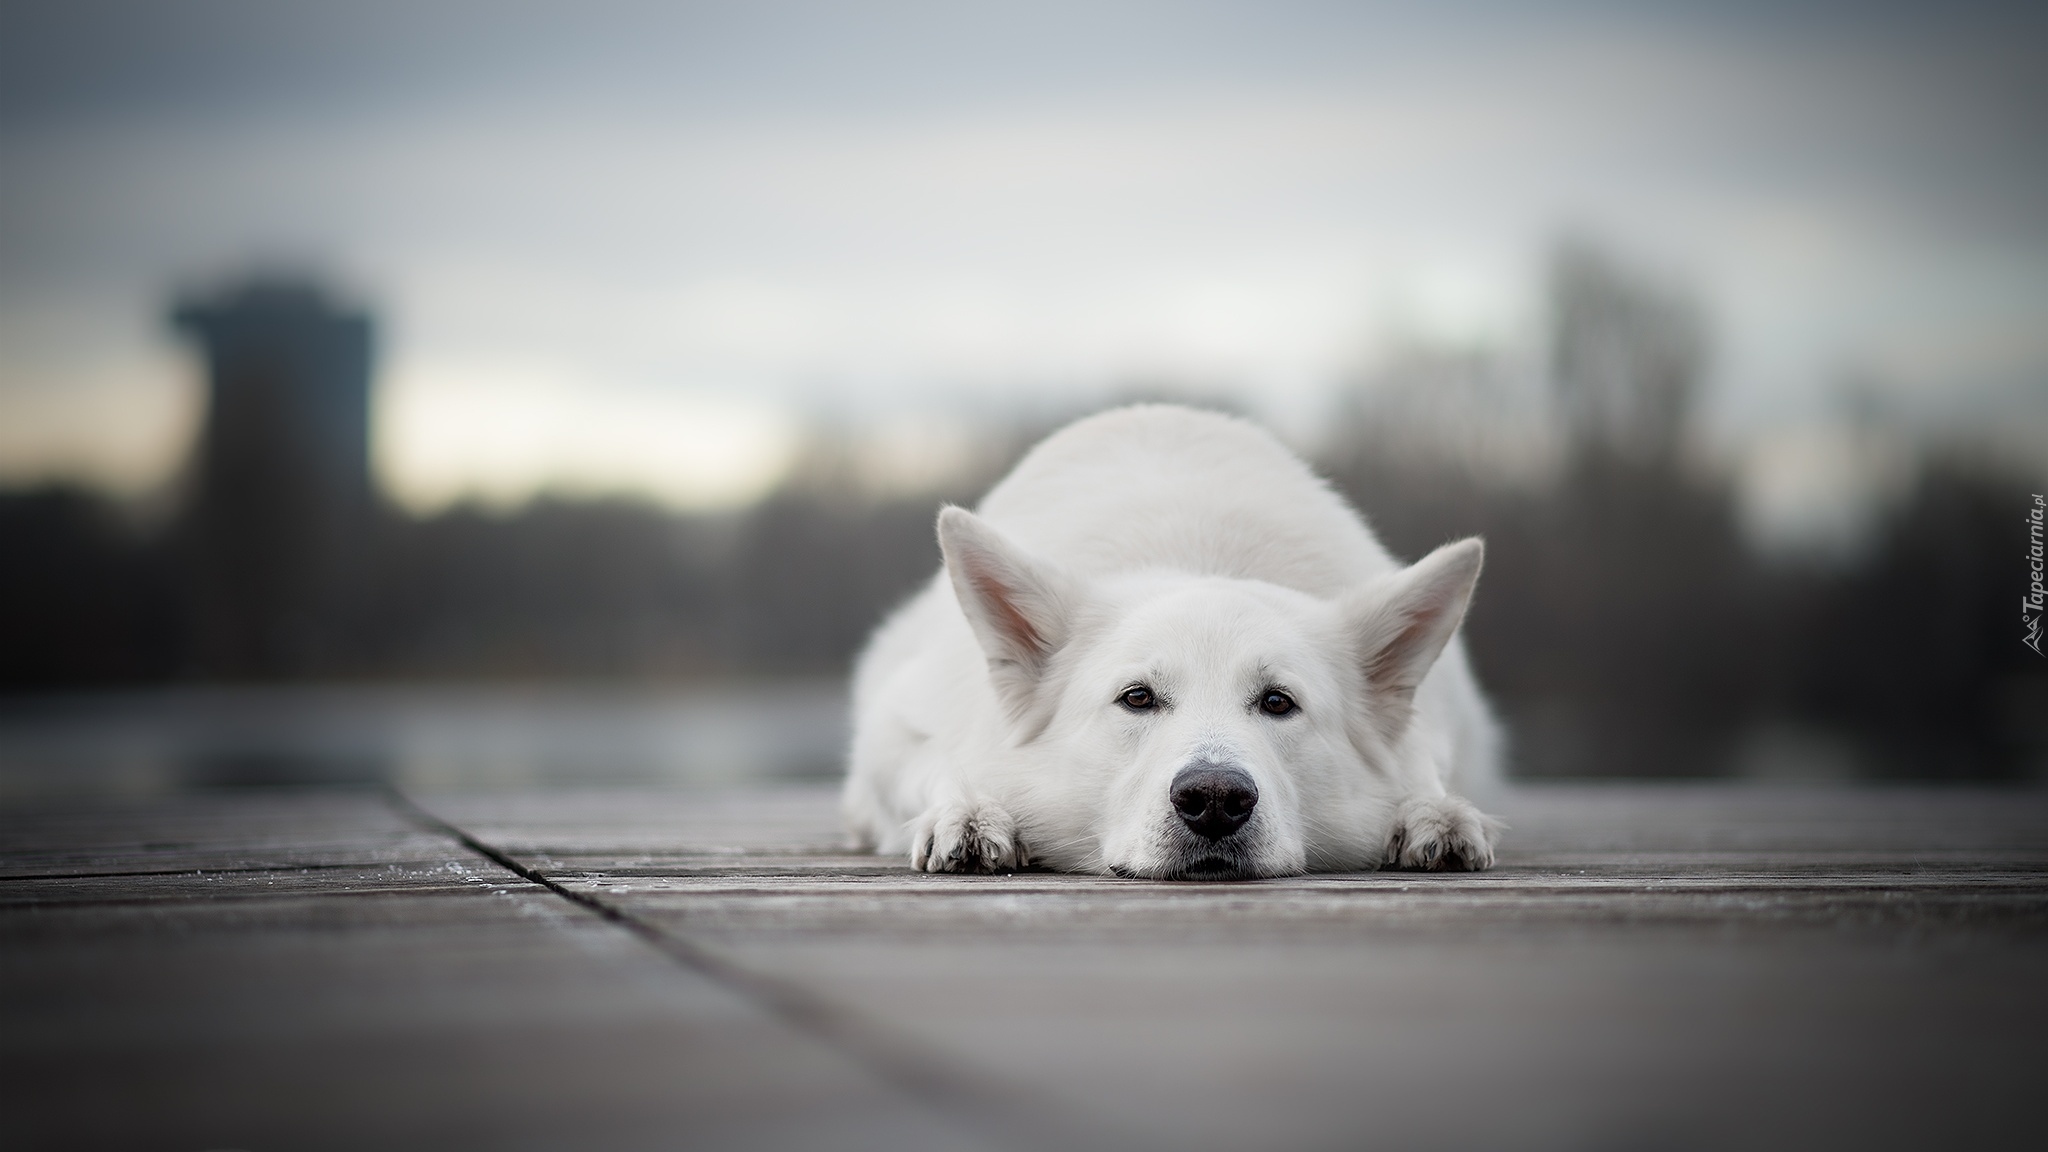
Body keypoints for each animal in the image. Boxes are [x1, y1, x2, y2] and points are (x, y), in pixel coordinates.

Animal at [839, 399, 1499, 873]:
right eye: (1136, 697)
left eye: (1278, 702)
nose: (1215, 799)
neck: (1191, 555)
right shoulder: (895, 731)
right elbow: (937, 762)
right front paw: (970, 810)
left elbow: (1422, 766)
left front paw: (1430, 813)